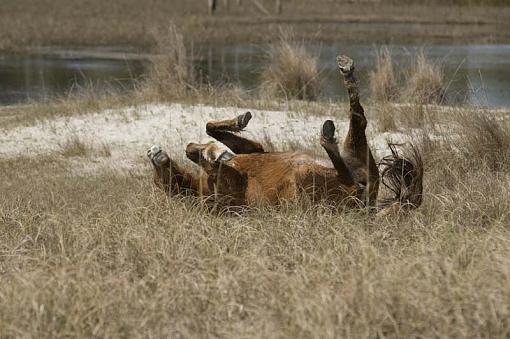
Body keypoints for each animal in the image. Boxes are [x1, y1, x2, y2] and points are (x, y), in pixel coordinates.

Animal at [147, 56, 422, 215]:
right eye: (159, 180)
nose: (152, 152)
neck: (199, 188)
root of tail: (367, 207)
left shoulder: (254, 150)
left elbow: (202, 137)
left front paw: (231, 129)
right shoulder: (224, 191)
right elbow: (206, 156)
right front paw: (214, 153)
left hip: (355, 154)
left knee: (359, 119)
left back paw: (346, 73)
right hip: (311, 178)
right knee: (352, 172)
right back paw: (328, 138)